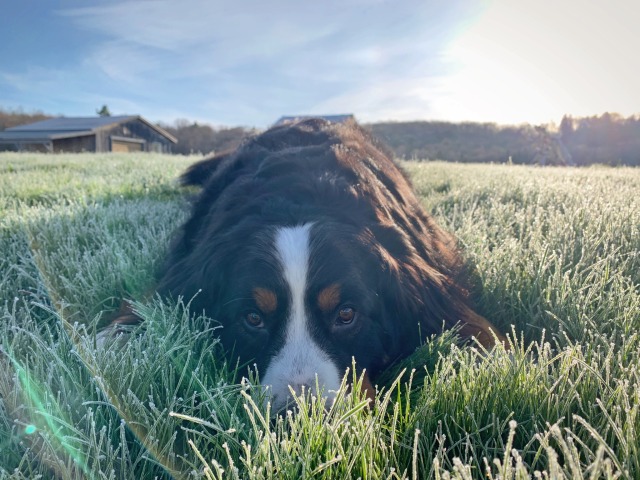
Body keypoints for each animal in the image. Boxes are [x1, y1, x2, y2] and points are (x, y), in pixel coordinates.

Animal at [102, 118, 504, 410]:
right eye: (253, 318)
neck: (300, 198)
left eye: (346, 314)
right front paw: (110, 342)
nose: (300, 415)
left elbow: (480, 332)